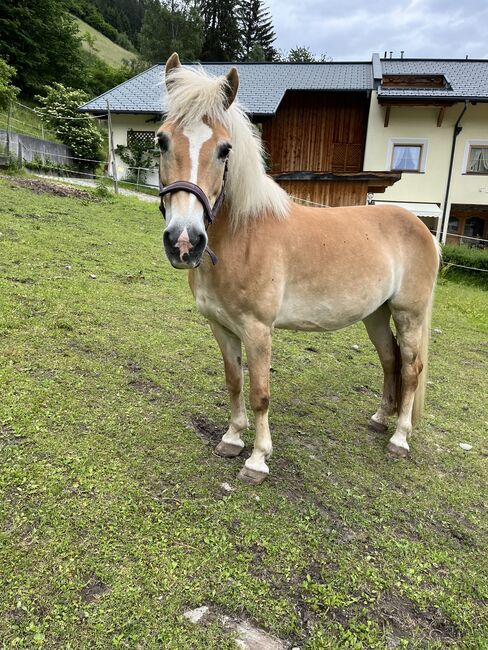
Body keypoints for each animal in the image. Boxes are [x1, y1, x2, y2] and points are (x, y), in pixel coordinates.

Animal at [158, 53, 440, 484]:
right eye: (161, 140)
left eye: (224, 149)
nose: (185, 241)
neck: (243, 234)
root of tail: (422, 228)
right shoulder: (221, 326)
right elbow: (234, 382)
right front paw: (231, 439)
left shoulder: (258, 330)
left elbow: (259, 393)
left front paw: (257, 460)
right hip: (376, 314)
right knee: (390, 360)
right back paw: (380, 419)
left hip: (410, 315)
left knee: (411, 369)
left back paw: (400, 438)